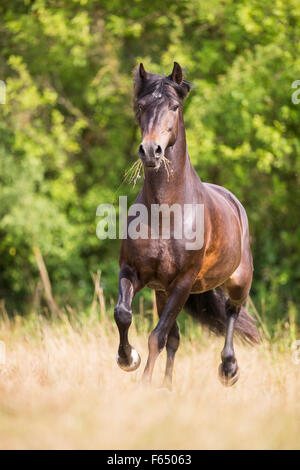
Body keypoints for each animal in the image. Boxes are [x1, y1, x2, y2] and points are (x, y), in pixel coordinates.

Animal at [113, 60, 258, 388]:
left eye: (175, 106)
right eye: (140, 106)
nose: (150, 150)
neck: (166, 213)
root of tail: (234, 202)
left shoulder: (182, 282)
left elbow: (156, 336)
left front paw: (144, 383)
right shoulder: (133, 271)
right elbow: (123, 314)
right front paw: (127, 359)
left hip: (237, 282)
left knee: (231, 312)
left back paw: (229, 369)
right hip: (162, 291)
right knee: (175, 338)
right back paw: (168, 386)